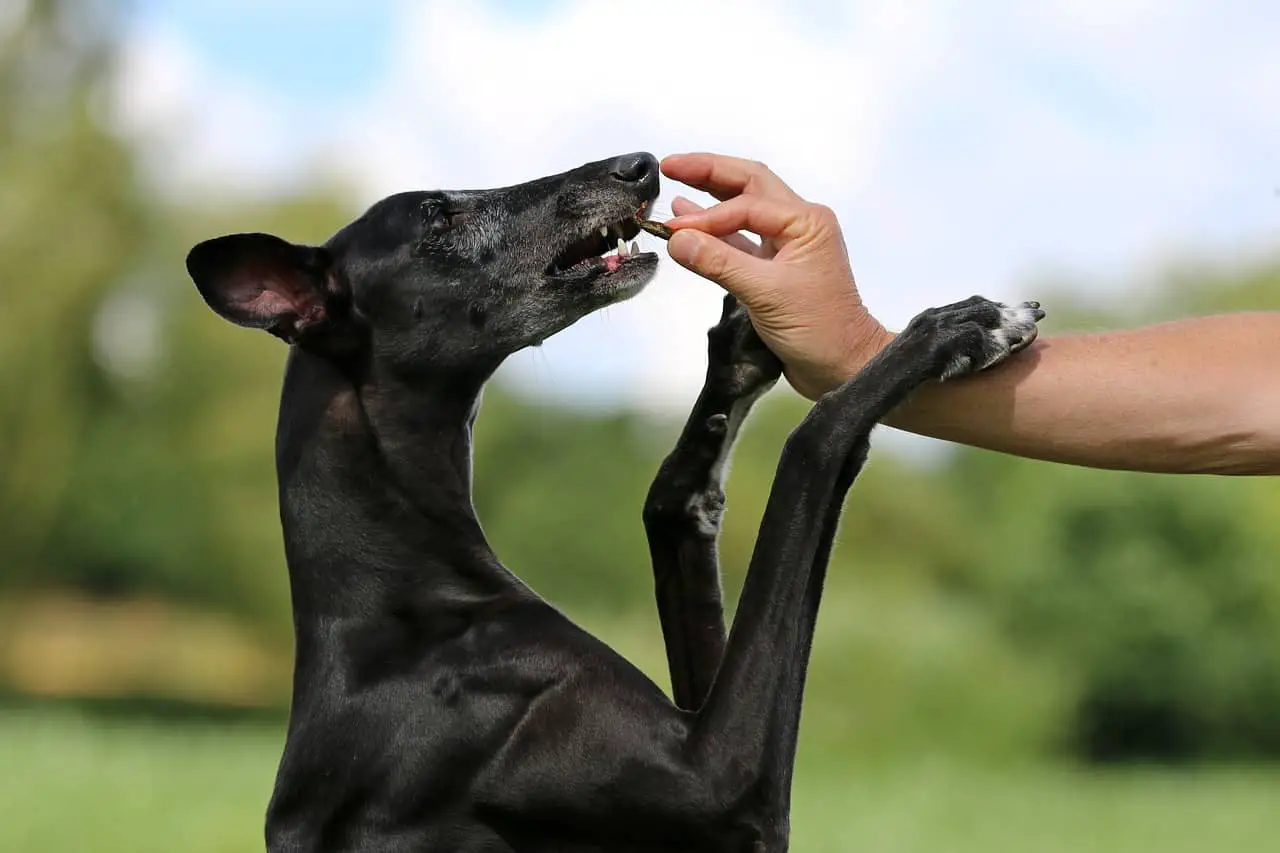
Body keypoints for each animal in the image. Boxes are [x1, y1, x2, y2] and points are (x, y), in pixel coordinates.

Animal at [186, 154, 1039, 850]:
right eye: (439, 215)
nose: (639, 164)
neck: (403, 589)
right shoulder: (720, 782)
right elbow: (815, 442)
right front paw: (959, 327)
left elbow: (670, 501)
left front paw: (741, 350)